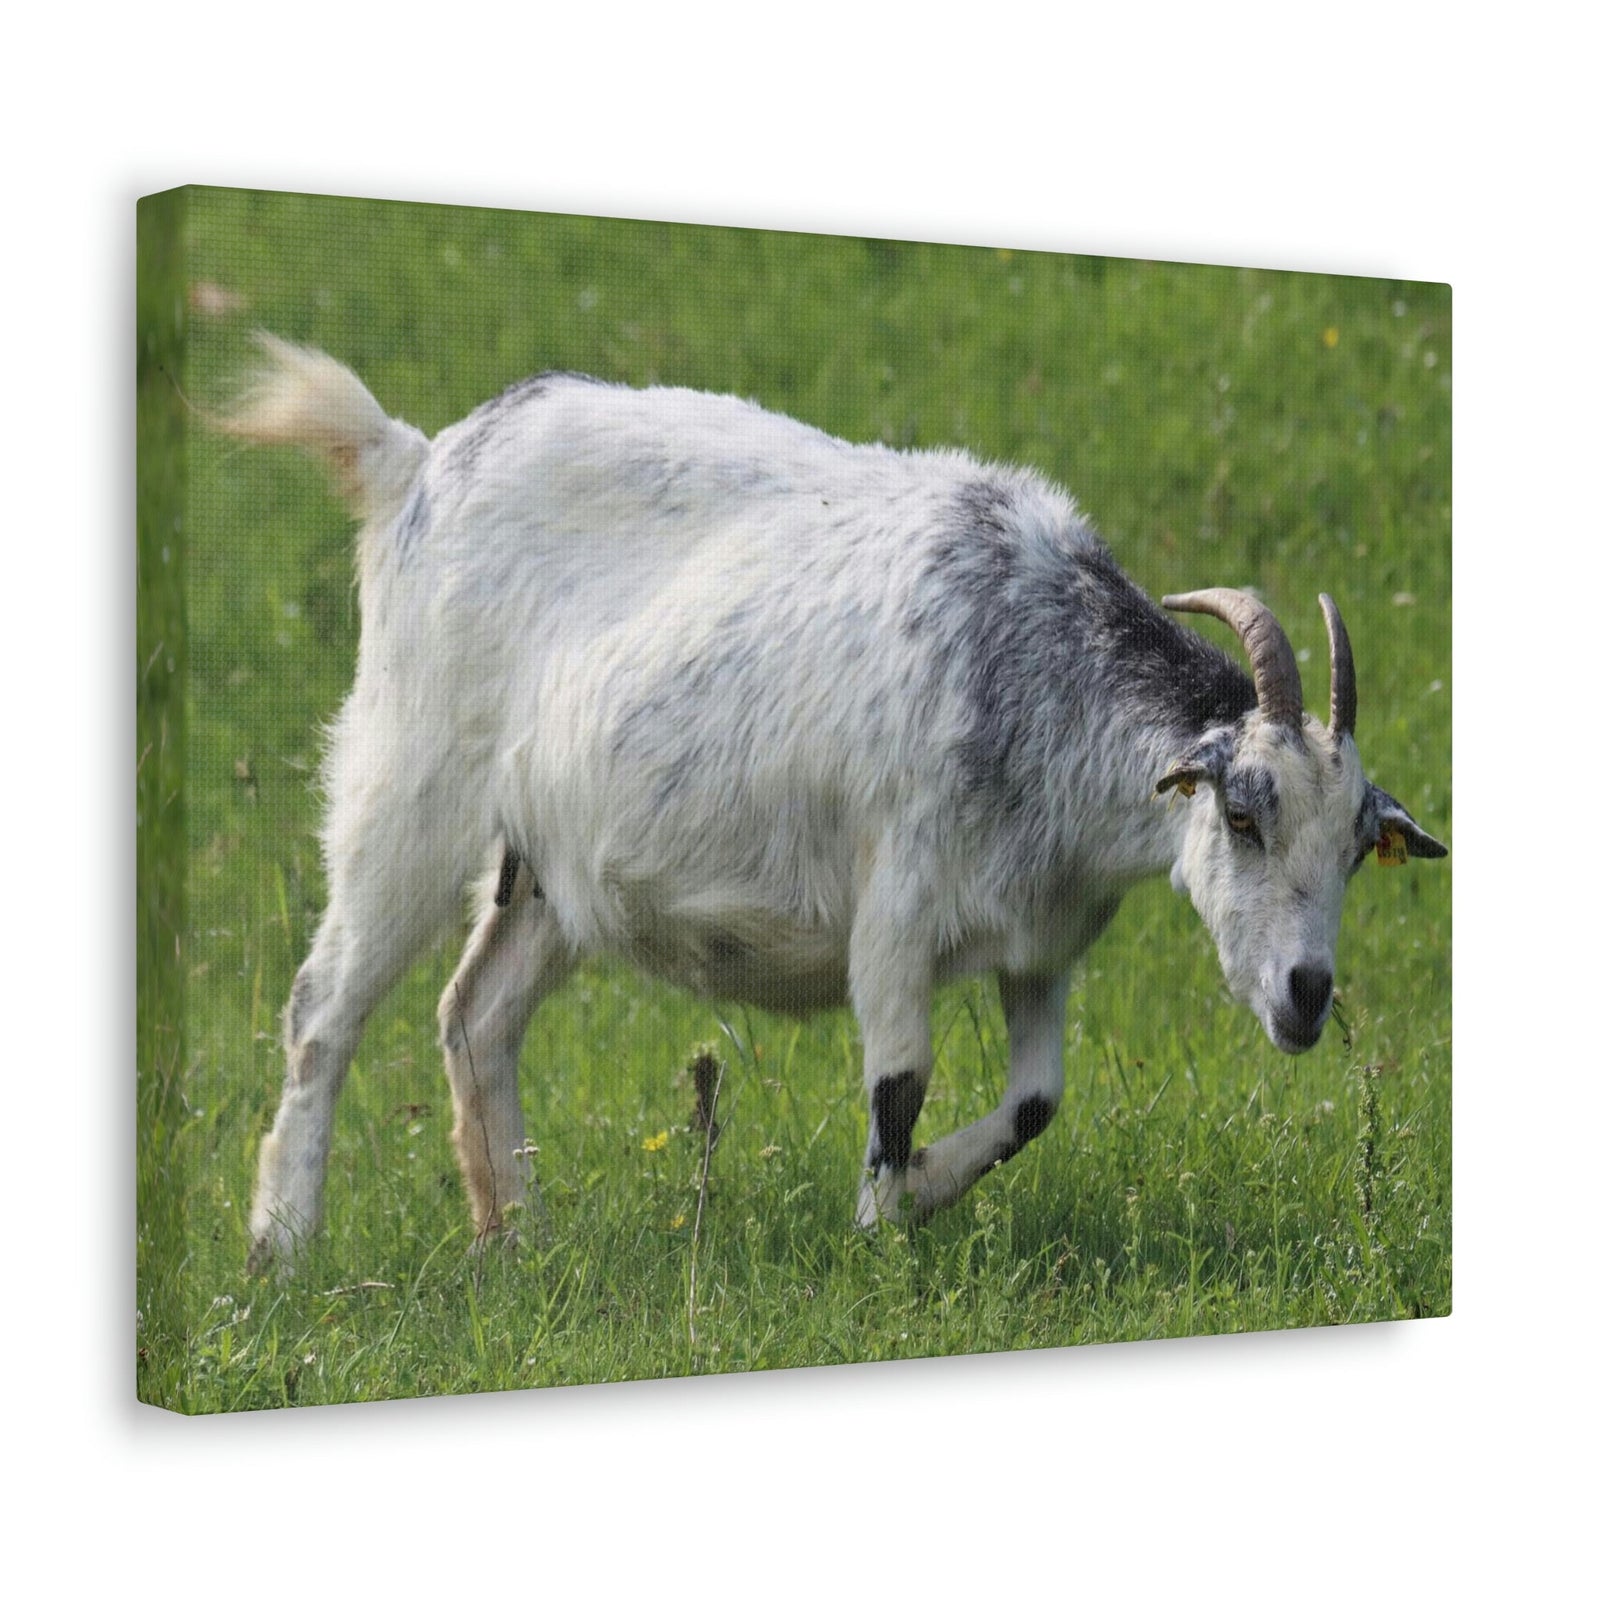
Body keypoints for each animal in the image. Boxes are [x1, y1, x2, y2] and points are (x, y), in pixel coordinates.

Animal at [224, 335, 1446, 1267]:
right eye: (1241, 816)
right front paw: (879, 1233)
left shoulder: (1042, 943)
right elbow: (899, 1085)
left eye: (1355, 850)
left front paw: (925, 1189)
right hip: (410, 785)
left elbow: (1037, 1100)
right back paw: (283, 1247)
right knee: (322, 1009)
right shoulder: (895, 913)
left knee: (475, 1014)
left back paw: (516, 1239)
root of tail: (415, 459)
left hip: (548, 871)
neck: (1030, 663)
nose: (1305, 997)